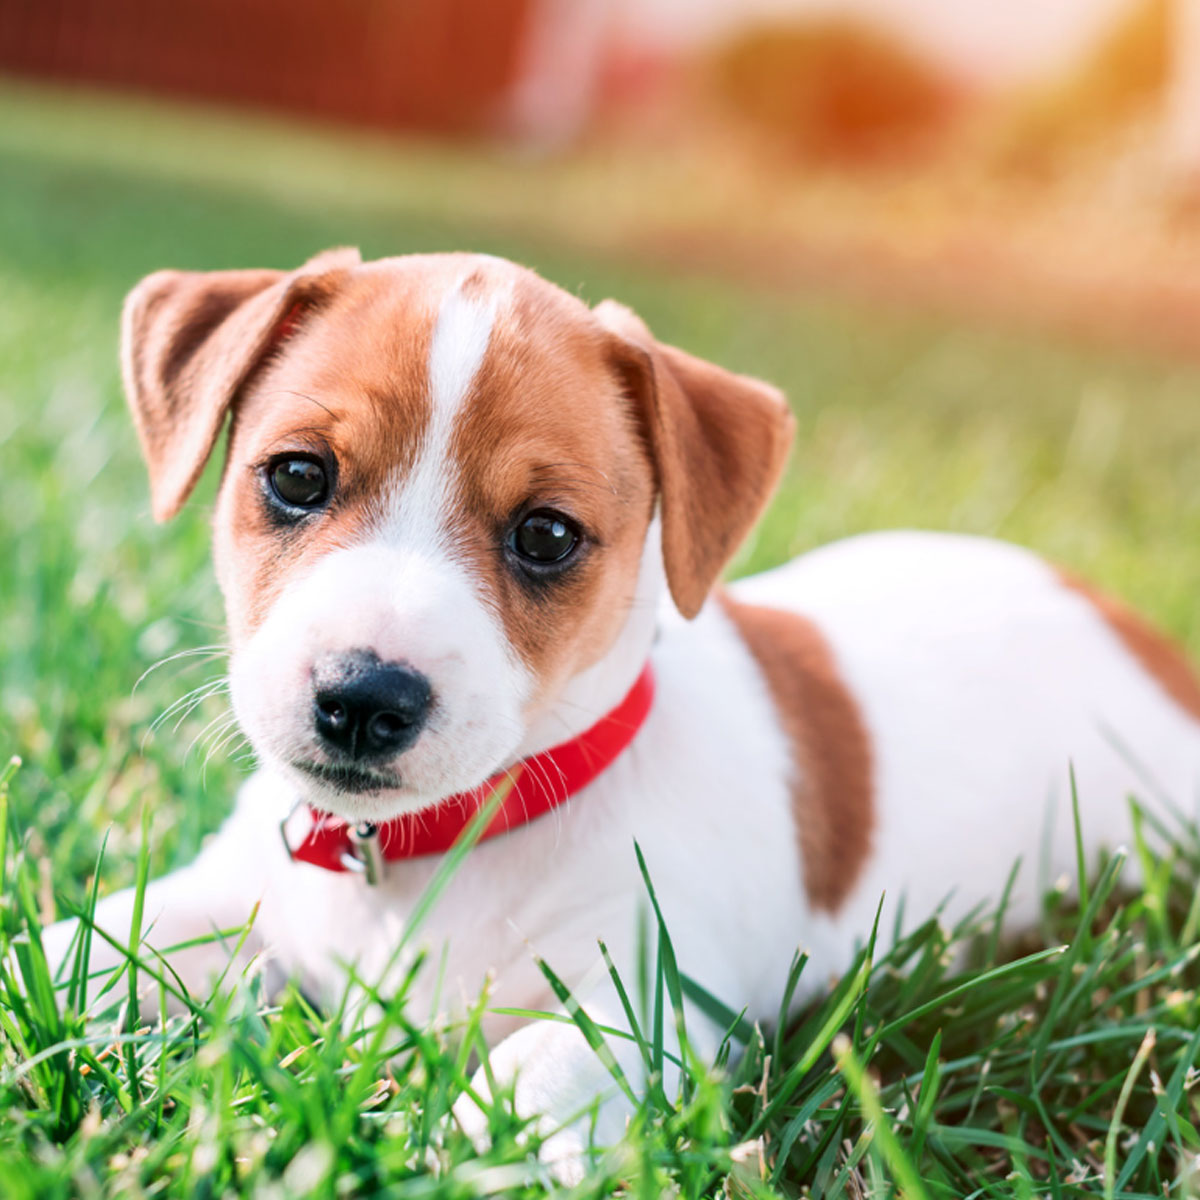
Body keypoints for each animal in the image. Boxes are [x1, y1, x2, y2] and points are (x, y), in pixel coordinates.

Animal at [46, 246, 1200, 1171]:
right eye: (295, 475)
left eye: (547, 535)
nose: (364, 699)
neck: (432, 850)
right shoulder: (232, 894)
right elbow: (88, 946)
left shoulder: (650, 997)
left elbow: (532, 1072)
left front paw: (449, 1156)